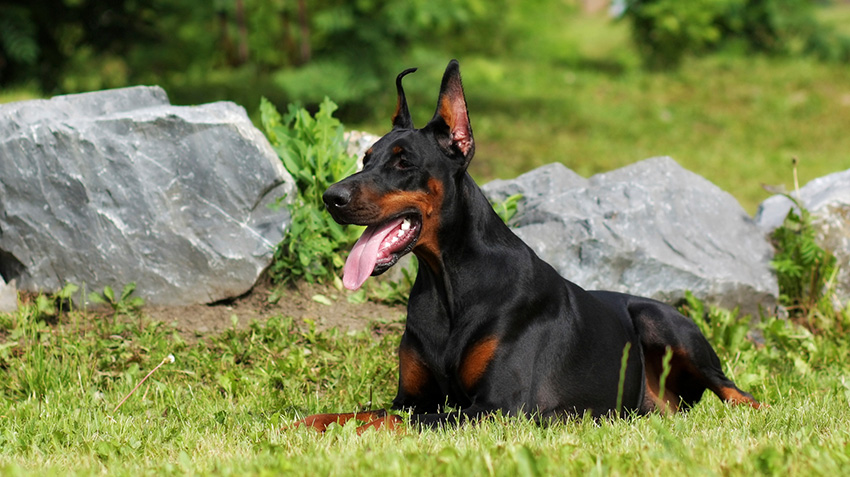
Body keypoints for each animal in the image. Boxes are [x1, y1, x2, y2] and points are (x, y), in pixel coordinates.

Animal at [294, 59, 760, 432]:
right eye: (365, 158)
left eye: (403, 162)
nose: (331, 197)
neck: (449, 284)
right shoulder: (411, 399)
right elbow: (359, 412)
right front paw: (300, 424)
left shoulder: (498, 407)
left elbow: (389, 421)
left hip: (661, 321)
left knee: (738, 392)